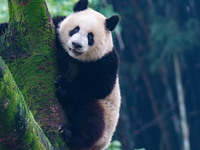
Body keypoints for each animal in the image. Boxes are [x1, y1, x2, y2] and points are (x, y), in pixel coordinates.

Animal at [53, 0, 121, 150]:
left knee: (92, 121)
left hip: (106, 117)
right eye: (75, 29)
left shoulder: (105, 60)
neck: (74, 58)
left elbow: (99, 87)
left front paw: (63, 86)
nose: (76, 44)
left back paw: (69, 133)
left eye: (90, 36)